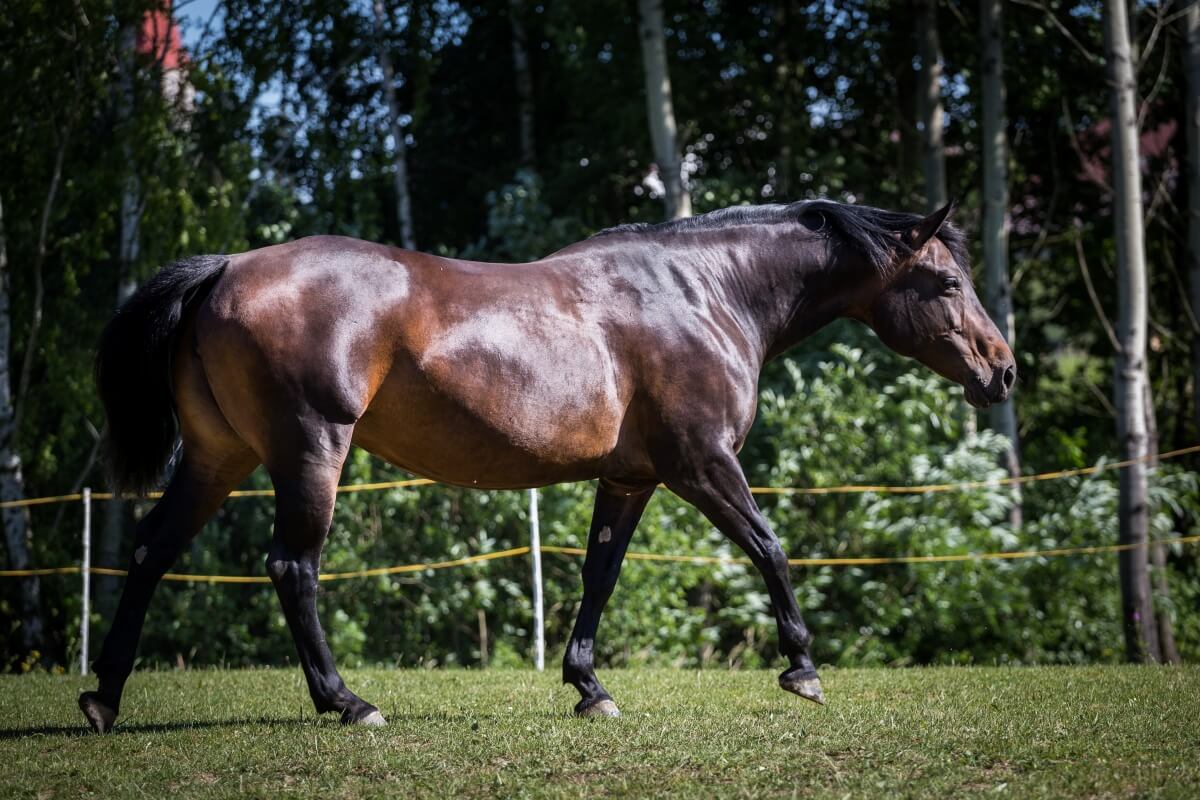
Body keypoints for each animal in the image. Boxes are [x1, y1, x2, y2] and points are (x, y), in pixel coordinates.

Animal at [79, 198, 1015, 732]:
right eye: (943, 282)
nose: (1002, 371)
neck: (703, 293)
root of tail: (225, 269)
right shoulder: (702, 465)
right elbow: (769, 547)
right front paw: (802, 670)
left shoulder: (631, 478)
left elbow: (599, 574)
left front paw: (589, 687)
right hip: (310, 452)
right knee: (292, 567)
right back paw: (347, 703)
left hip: (218, 456)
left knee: (151, 552)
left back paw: (104, 697)